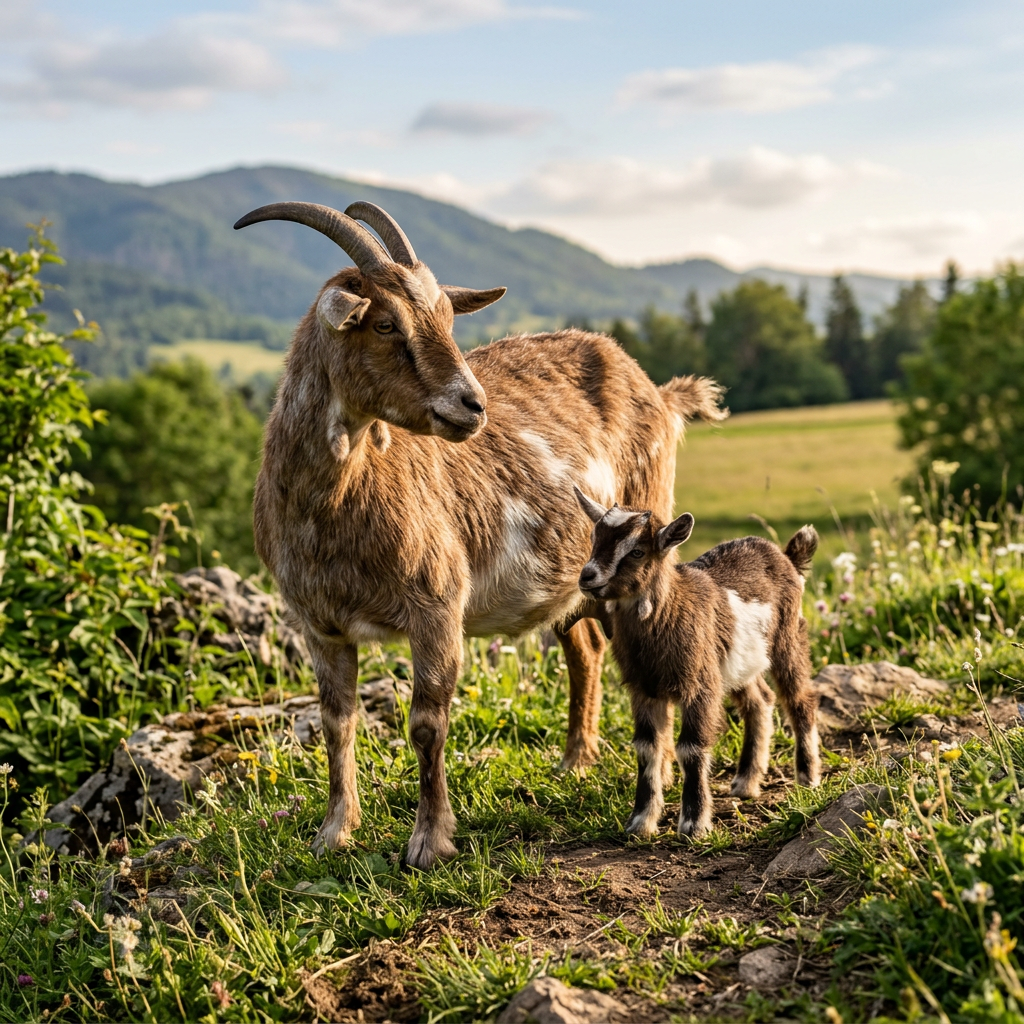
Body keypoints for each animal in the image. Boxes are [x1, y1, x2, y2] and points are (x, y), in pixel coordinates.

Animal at [233, 200, 727, 867]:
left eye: (446, 317)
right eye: (384, 324)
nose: (473, 405)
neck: (334, 507)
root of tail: (662, 394)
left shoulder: (437, 602)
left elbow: (426, 722)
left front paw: (428, 841)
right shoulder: (318, 622)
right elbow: (337, 721)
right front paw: (335, 831)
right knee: (584, 648)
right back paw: (575, 760)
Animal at [573, 488, 820, 838]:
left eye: (637, 552)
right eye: (594, 538)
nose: (588, 576)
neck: (669, 611)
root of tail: (786, 556)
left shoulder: (698, 685)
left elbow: (690, 749)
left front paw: (694, 824)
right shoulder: (643, 688)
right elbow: (647, 748)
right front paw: (640, 822)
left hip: (788, 638)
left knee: (800, 699)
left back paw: (808, 777)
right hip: (736, 664)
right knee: (760, 700)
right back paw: (746, 782)